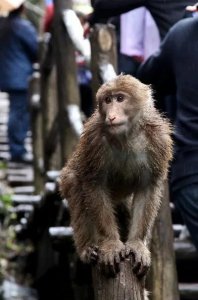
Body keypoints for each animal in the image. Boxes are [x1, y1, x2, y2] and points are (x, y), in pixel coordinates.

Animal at [59, 76, 172, 280]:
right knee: (74, 182)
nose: (111, 115)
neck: (128, 135)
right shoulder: (94, 139)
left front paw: (136, 244)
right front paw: (111, 244)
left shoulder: (159, 140)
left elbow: (148, 187)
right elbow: (93, 184)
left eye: (120, 98)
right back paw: (88, 247)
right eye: (107, 100)